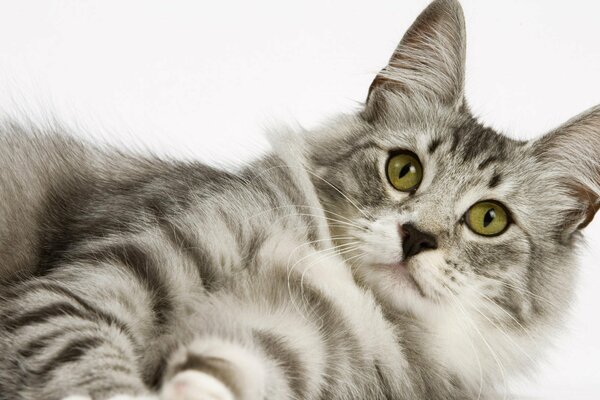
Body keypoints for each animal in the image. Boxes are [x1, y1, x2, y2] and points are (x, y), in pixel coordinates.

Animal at [1, 0, 600, 400]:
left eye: (488, 218)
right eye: (403, 170)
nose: (416, 238)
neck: (345, 291)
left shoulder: (299, 358)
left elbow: (226, 371)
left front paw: (195, 373)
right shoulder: (89, 283)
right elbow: (95, 367)